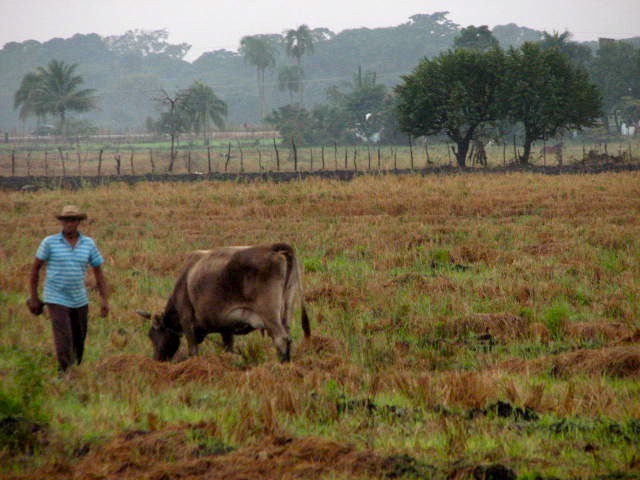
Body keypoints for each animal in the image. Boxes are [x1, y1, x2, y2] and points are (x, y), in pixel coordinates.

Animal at [138, 244, 310, 364]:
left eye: (152, 335)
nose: (156, 360)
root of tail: (272, 248)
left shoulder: (187, 320)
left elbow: (193, 350)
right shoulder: (226, 327)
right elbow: (229, 349)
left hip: (269, 314)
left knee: (281, 339)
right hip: (286, 310)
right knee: (288, 338)